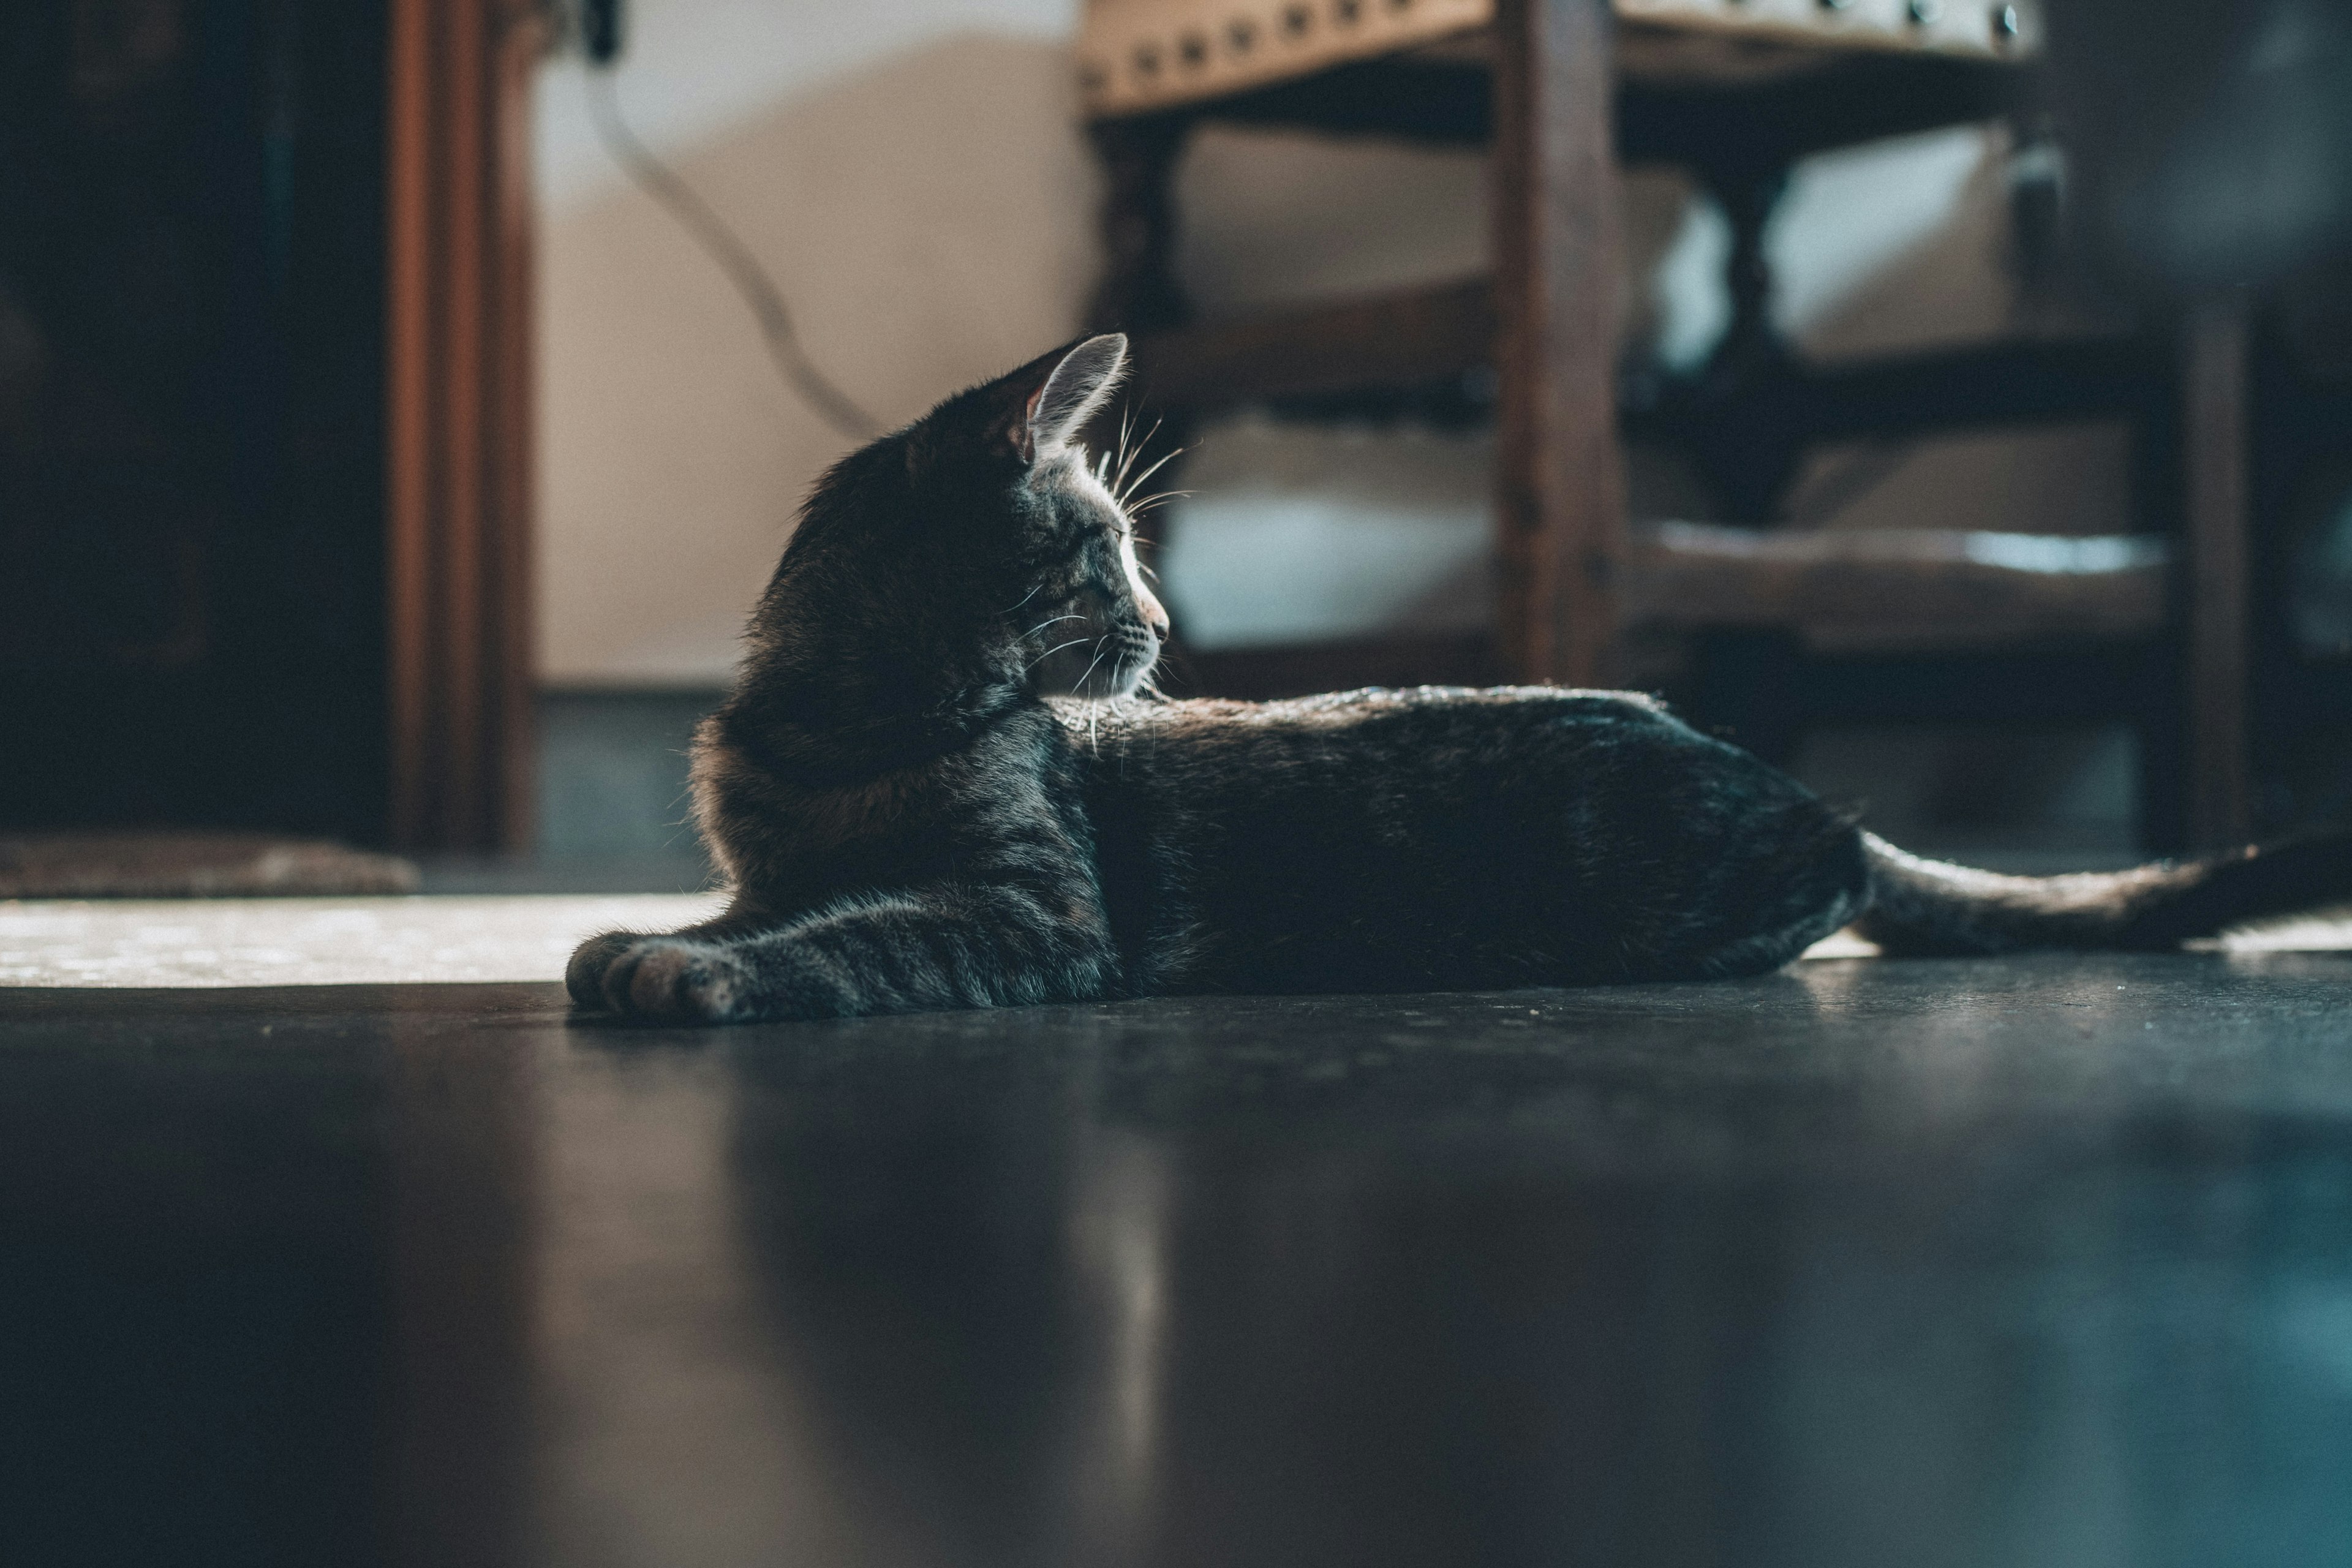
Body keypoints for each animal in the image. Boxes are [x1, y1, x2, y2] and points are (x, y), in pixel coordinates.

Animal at [569, 338, 2352, 1025]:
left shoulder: (1033, 919)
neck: (840, 724)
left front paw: (687, 970)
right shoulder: (778, 864)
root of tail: (1796, 791)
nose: (1162, 618)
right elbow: (779, 906)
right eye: (1104, 552)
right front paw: (629, 937)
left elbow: (853, 938)